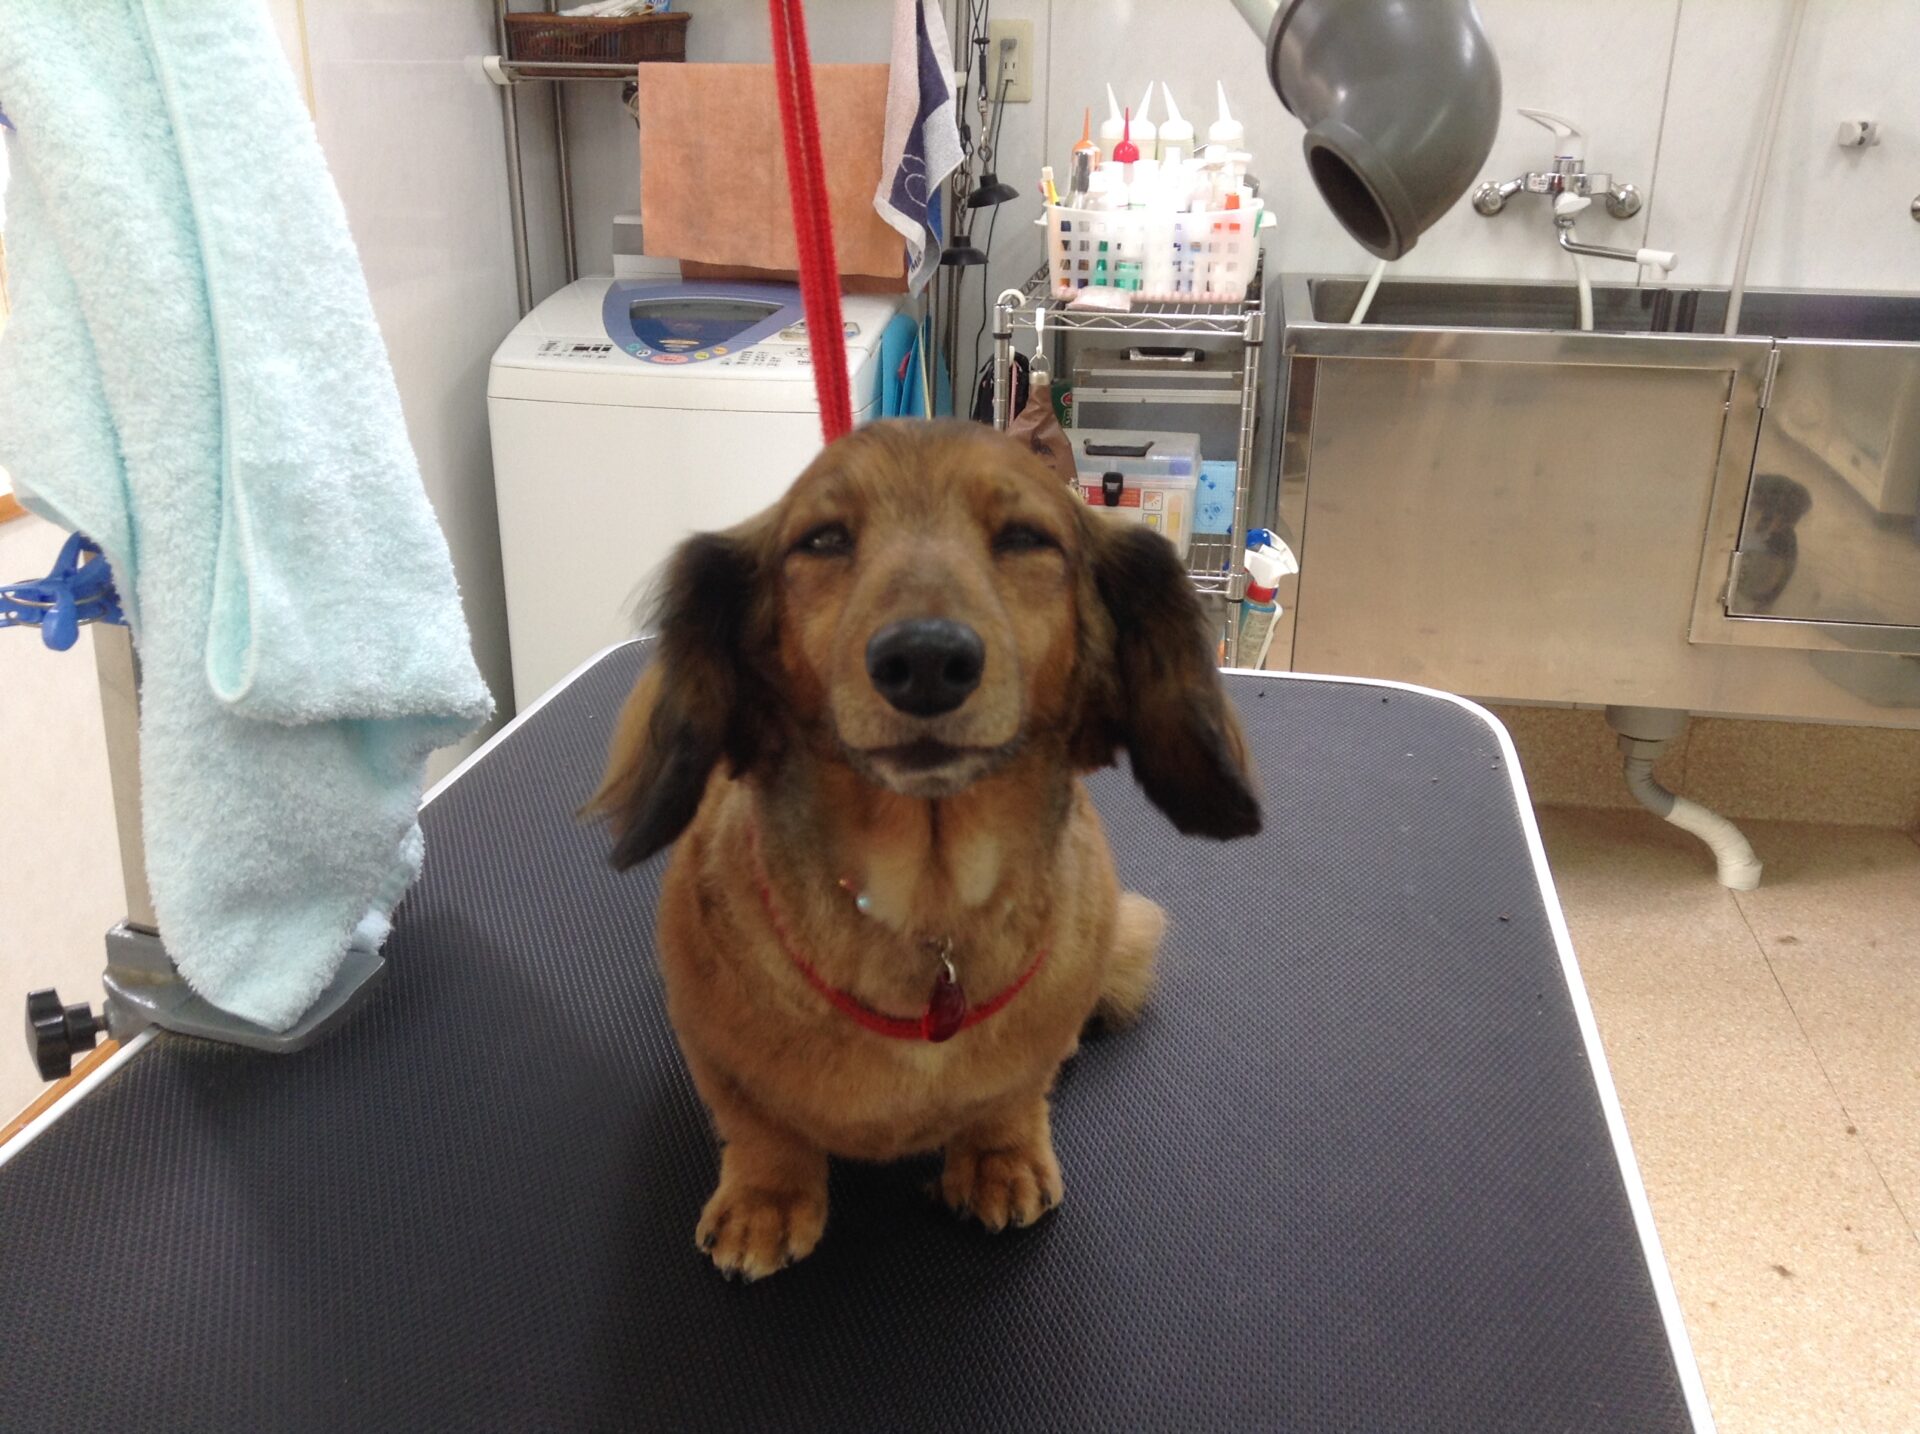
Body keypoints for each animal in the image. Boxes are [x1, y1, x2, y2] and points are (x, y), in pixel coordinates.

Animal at [587, 419, 1260, 1279]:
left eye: (1025, 537)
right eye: (823, 539)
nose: (927, 661)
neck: (928, 905)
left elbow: (1012, 1096)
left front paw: (1000, 1156)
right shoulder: (716, 1053)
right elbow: (761, 1125)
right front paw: (766, 1198)